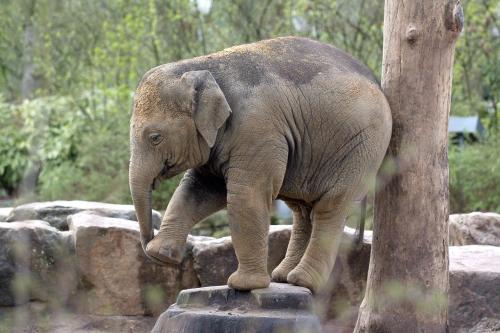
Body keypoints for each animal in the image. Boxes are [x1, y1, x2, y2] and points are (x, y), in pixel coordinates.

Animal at [128, 36, 390, 292]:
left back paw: (302, 281)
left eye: (155, 137)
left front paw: (243, 285)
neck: (201, 67)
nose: (147, 245)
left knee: (331, 206)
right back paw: (283, 277)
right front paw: (161, 255)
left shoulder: (256, 130)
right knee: (302, 210)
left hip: (362, 147)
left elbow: (245, 196)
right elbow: (198, 189)